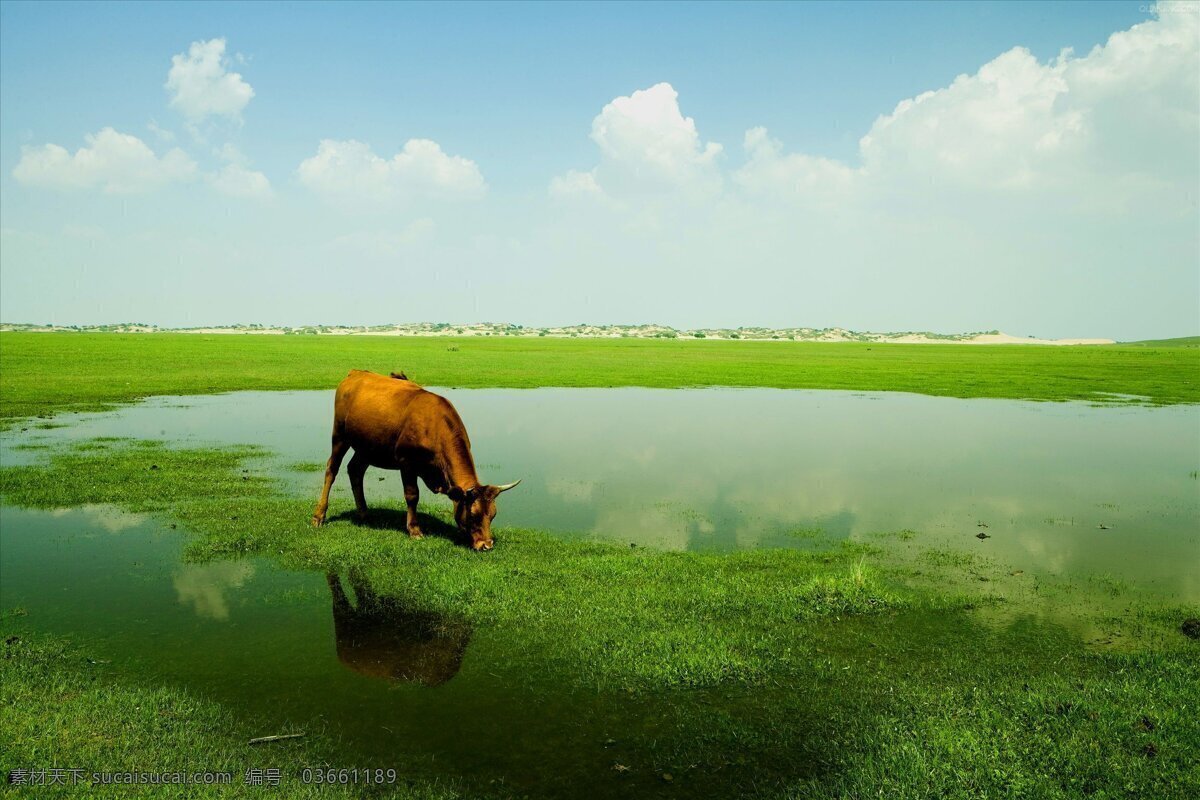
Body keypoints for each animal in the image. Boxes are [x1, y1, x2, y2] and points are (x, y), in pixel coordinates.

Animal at [312, 369, 518, 551]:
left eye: (493, 515)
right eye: (473, 515)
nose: (486, 545)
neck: (435, 426)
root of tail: (356, 373)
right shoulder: (407, 463)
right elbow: (412, 495)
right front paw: (414, 530)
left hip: (367, 447)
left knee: (355, 470)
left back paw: (364, 513)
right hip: (339, 435)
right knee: (332, 469)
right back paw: (319, 515)